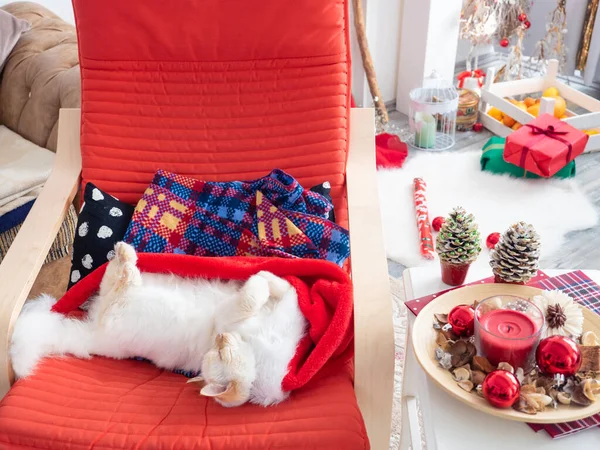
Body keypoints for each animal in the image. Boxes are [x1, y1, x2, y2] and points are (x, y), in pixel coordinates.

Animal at [11, 243, 308, 408]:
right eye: (218, 351)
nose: (221, 337)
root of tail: (93, 336)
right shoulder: (232, 315)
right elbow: (265, 289)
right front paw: (264, 273)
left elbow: (273, 292)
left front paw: (268, 276)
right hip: (122, 301)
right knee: (118, 279)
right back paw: (125, 253)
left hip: (117, 302)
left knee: (116, 281)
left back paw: (125, 255)